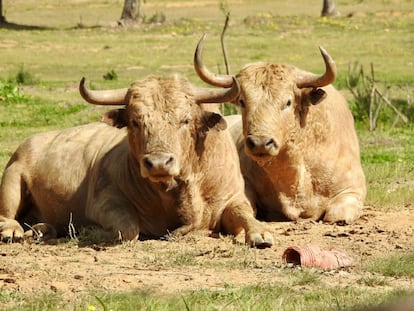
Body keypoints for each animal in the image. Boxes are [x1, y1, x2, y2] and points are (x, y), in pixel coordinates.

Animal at [0, 74, 274, 247]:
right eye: (135, 121)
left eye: (186, 120)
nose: (159, 163)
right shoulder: (104, 202)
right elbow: (128, 229)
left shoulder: (234, 197)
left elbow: (245, 215)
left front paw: (260, 233)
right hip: (12, 181)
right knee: (6, 215)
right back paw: (14, 231)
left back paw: (41, 229)